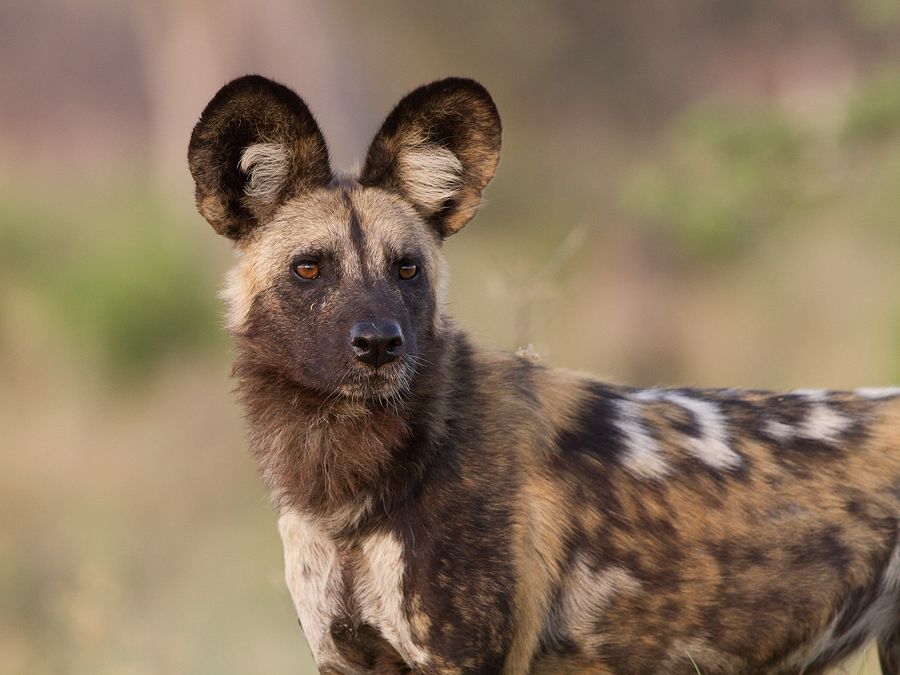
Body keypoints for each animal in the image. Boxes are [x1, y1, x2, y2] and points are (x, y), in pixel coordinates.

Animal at [192, 74, 900, 675]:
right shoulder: (348, 660)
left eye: (407, 269)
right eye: (309, 268)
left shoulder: (464, 660)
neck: (349, 493)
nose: (380, 345)